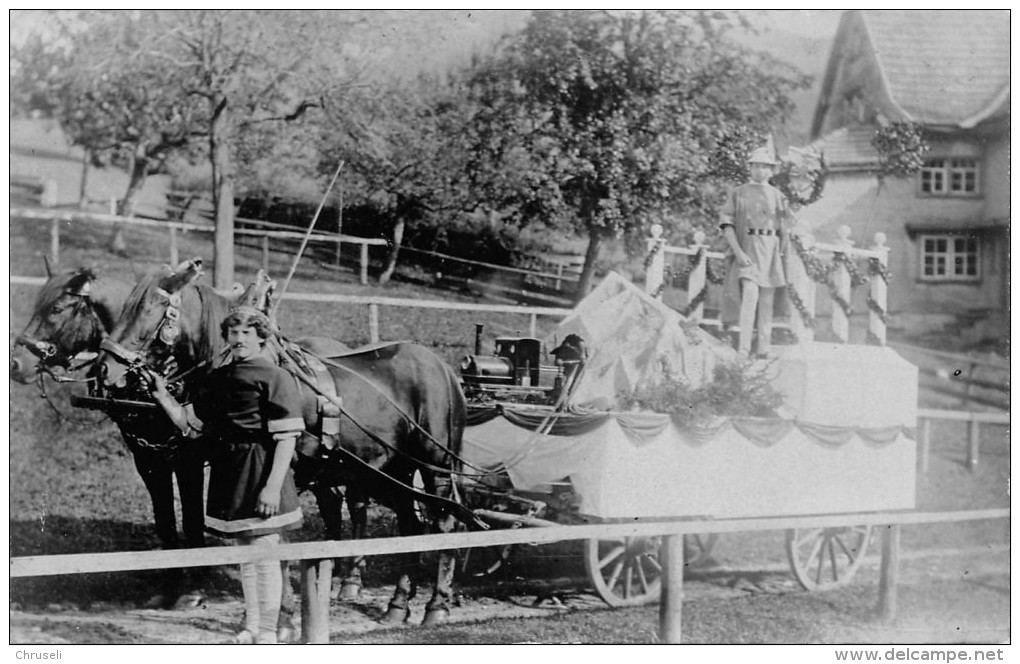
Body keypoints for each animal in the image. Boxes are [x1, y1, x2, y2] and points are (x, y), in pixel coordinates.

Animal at [9, 269, 208, 607]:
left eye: (56, 309)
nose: (15, 363)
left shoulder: (188, 458)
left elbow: (193, 521)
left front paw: (194, 591)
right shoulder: (147, 457)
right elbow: (165, 523)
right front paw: (170, 589)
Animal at [97, 258, 479, 624]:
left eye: (151, 309)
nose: (105, 370)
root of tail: (442, 368)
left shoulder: (272, 475)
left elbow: (274, 540)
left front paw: (279, 614)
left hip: (435, 464)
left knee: (444, 523)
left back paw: (436, 605)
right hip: (395, 469)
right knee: (409, 525)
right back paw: (397, 604)